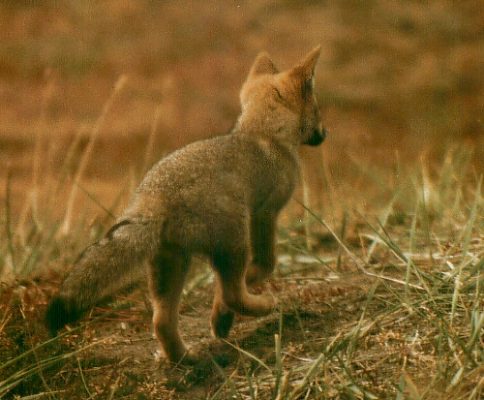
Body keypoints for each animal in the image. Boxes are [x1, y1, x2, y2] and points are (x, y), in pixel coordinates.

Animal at [45, 45, 328, 364]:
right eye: (318, 109)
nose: (324, 134)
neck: (261, 133)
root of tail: (154, 201)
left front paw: (221, 319)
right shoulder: (265, 215)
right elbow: (264, 265)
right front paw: (235, 303)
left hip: (172, 265)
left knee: (162, 321)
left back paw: (186, 357)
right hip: (232, 245)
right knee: (231, 293)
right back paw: (262, 306)